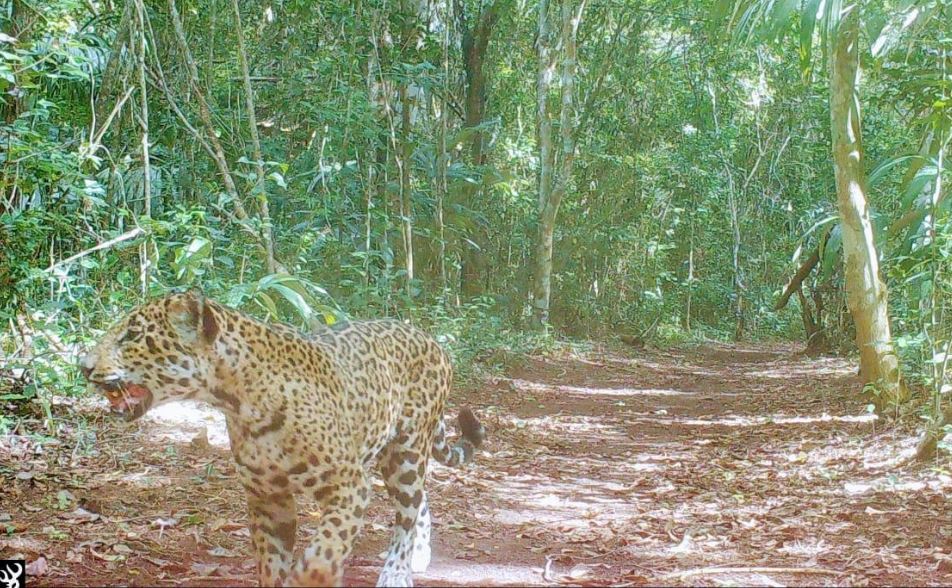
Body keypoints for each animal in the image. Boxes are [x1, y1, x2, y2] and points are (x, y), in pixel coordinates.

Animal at [80, 290, 485, 587]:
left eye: (132, 336)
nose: (83, 366)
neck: (238, 400)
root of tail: (431, 340)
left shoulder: (348, 484)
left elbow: (324, 551)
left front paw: (313, 576)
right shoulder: (267, 497)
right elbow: (271, 561)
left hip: (406, 450)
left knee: (407, 510)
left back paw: (397, 573)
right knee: (420, 500)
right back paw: (419, 555)